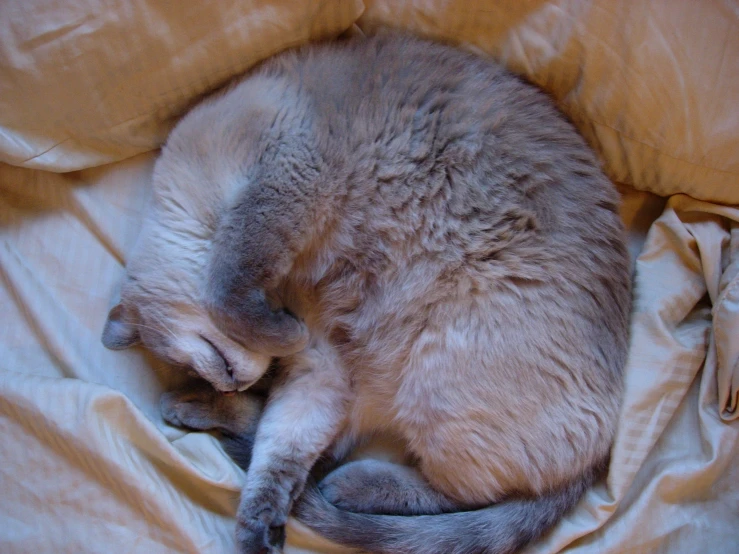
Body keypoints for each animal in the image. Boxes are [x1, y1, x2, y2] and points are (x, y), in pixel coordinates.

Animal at [102, 31, 632, 552]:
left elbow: (228, 284)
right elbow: (279, 453)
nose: (231, 383)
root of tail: (600, 453)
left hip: (435, 377)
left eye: (197, 359)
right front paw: (258, 530)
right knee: (312, 449)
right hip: (373, 385)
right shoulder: (321, 365)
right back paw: (191, 408)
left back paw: (345, 482)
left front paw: (275, 335)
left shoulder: (281, 177)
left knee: (457, 493)